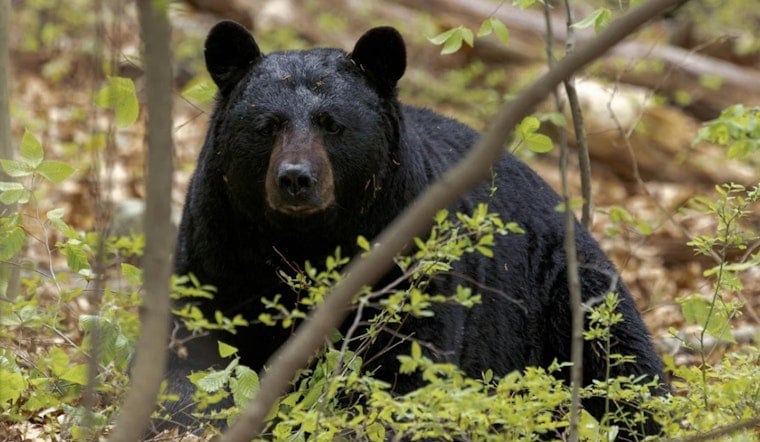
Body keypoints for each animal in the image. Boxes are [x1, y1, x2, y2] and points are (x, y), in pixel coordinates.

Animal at [163, 20, 667, 438]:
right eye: (267, 125)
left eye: (332, 125)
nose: (295, 178)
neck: (307, 240)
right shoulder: (218, 244)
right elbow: (194, 349)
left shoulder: (408, 252)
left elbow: (409, 361)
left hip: (565, 289)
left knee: (623, 362)